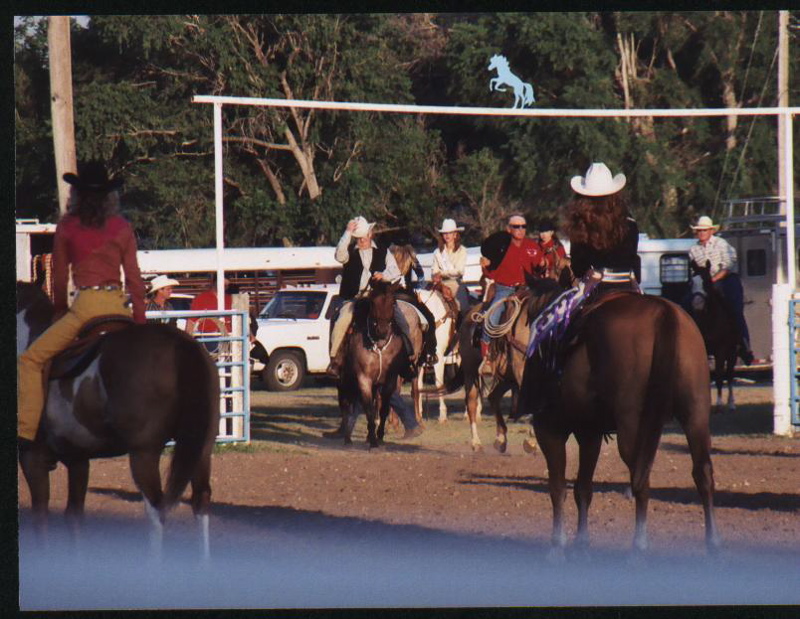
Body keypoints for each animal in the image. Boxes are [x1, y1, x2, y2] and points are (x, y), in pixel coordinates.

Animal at [15, 284, 220, 560]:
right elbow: (73, 516)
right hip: (201, 446)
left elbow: (41, 518)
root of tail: (180, 344)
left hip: (144, 452)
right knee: (201, 500)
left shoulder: (31, 456)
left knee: (156, 509)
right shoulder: (77, 458)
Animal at [520, 278, 720, 560]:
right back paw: (712, 543)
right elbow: (583, 489)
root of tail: (664, 313)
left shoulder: (550, 430)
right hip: (696, 415)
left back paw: (639, 548)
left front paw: (557, 546)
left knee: (641, 479)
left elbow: (557, 488)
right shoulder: (589, 433)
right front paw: (581, 543)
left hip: (632, 426)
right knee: (702, 473)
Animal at [688, 260, 736, 414]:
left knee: (729, 374)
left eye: (707, 282)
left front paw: (719, 403)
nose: (697, 304)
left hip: (732, 352)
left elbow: (720, 376)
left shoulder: (720, 351)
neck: (709, 320)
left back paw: (731, 403)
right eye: (691, 282)